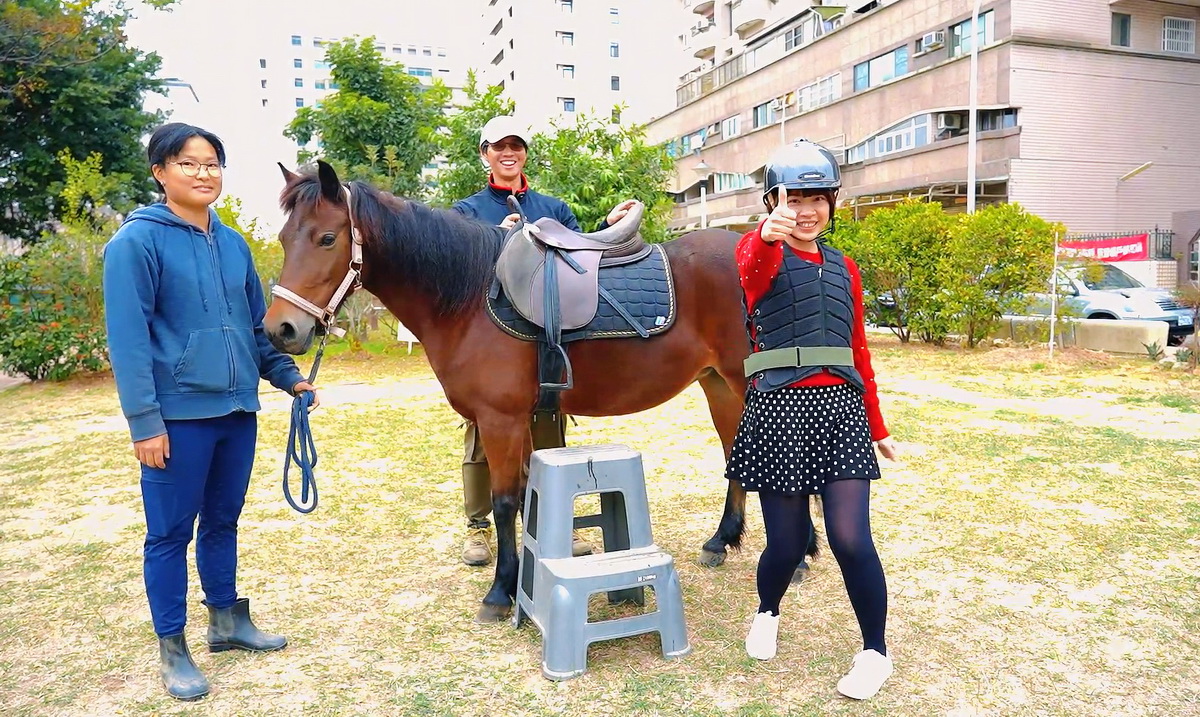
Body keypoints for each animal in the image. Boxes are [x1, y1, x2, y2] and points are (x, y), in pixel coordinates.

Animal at [263, 161, 813, 623]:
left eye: (327, 238)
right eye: (286, 239)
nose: (280, 330)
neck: (468, 297)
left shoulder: (501, 419)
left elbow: (506, 501)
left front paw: (501, 591)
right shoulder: (517, 420)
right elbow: (525, 496)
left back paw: (799, 553)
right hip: (719, 384)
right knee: (735, 455)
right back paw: (726, 541)